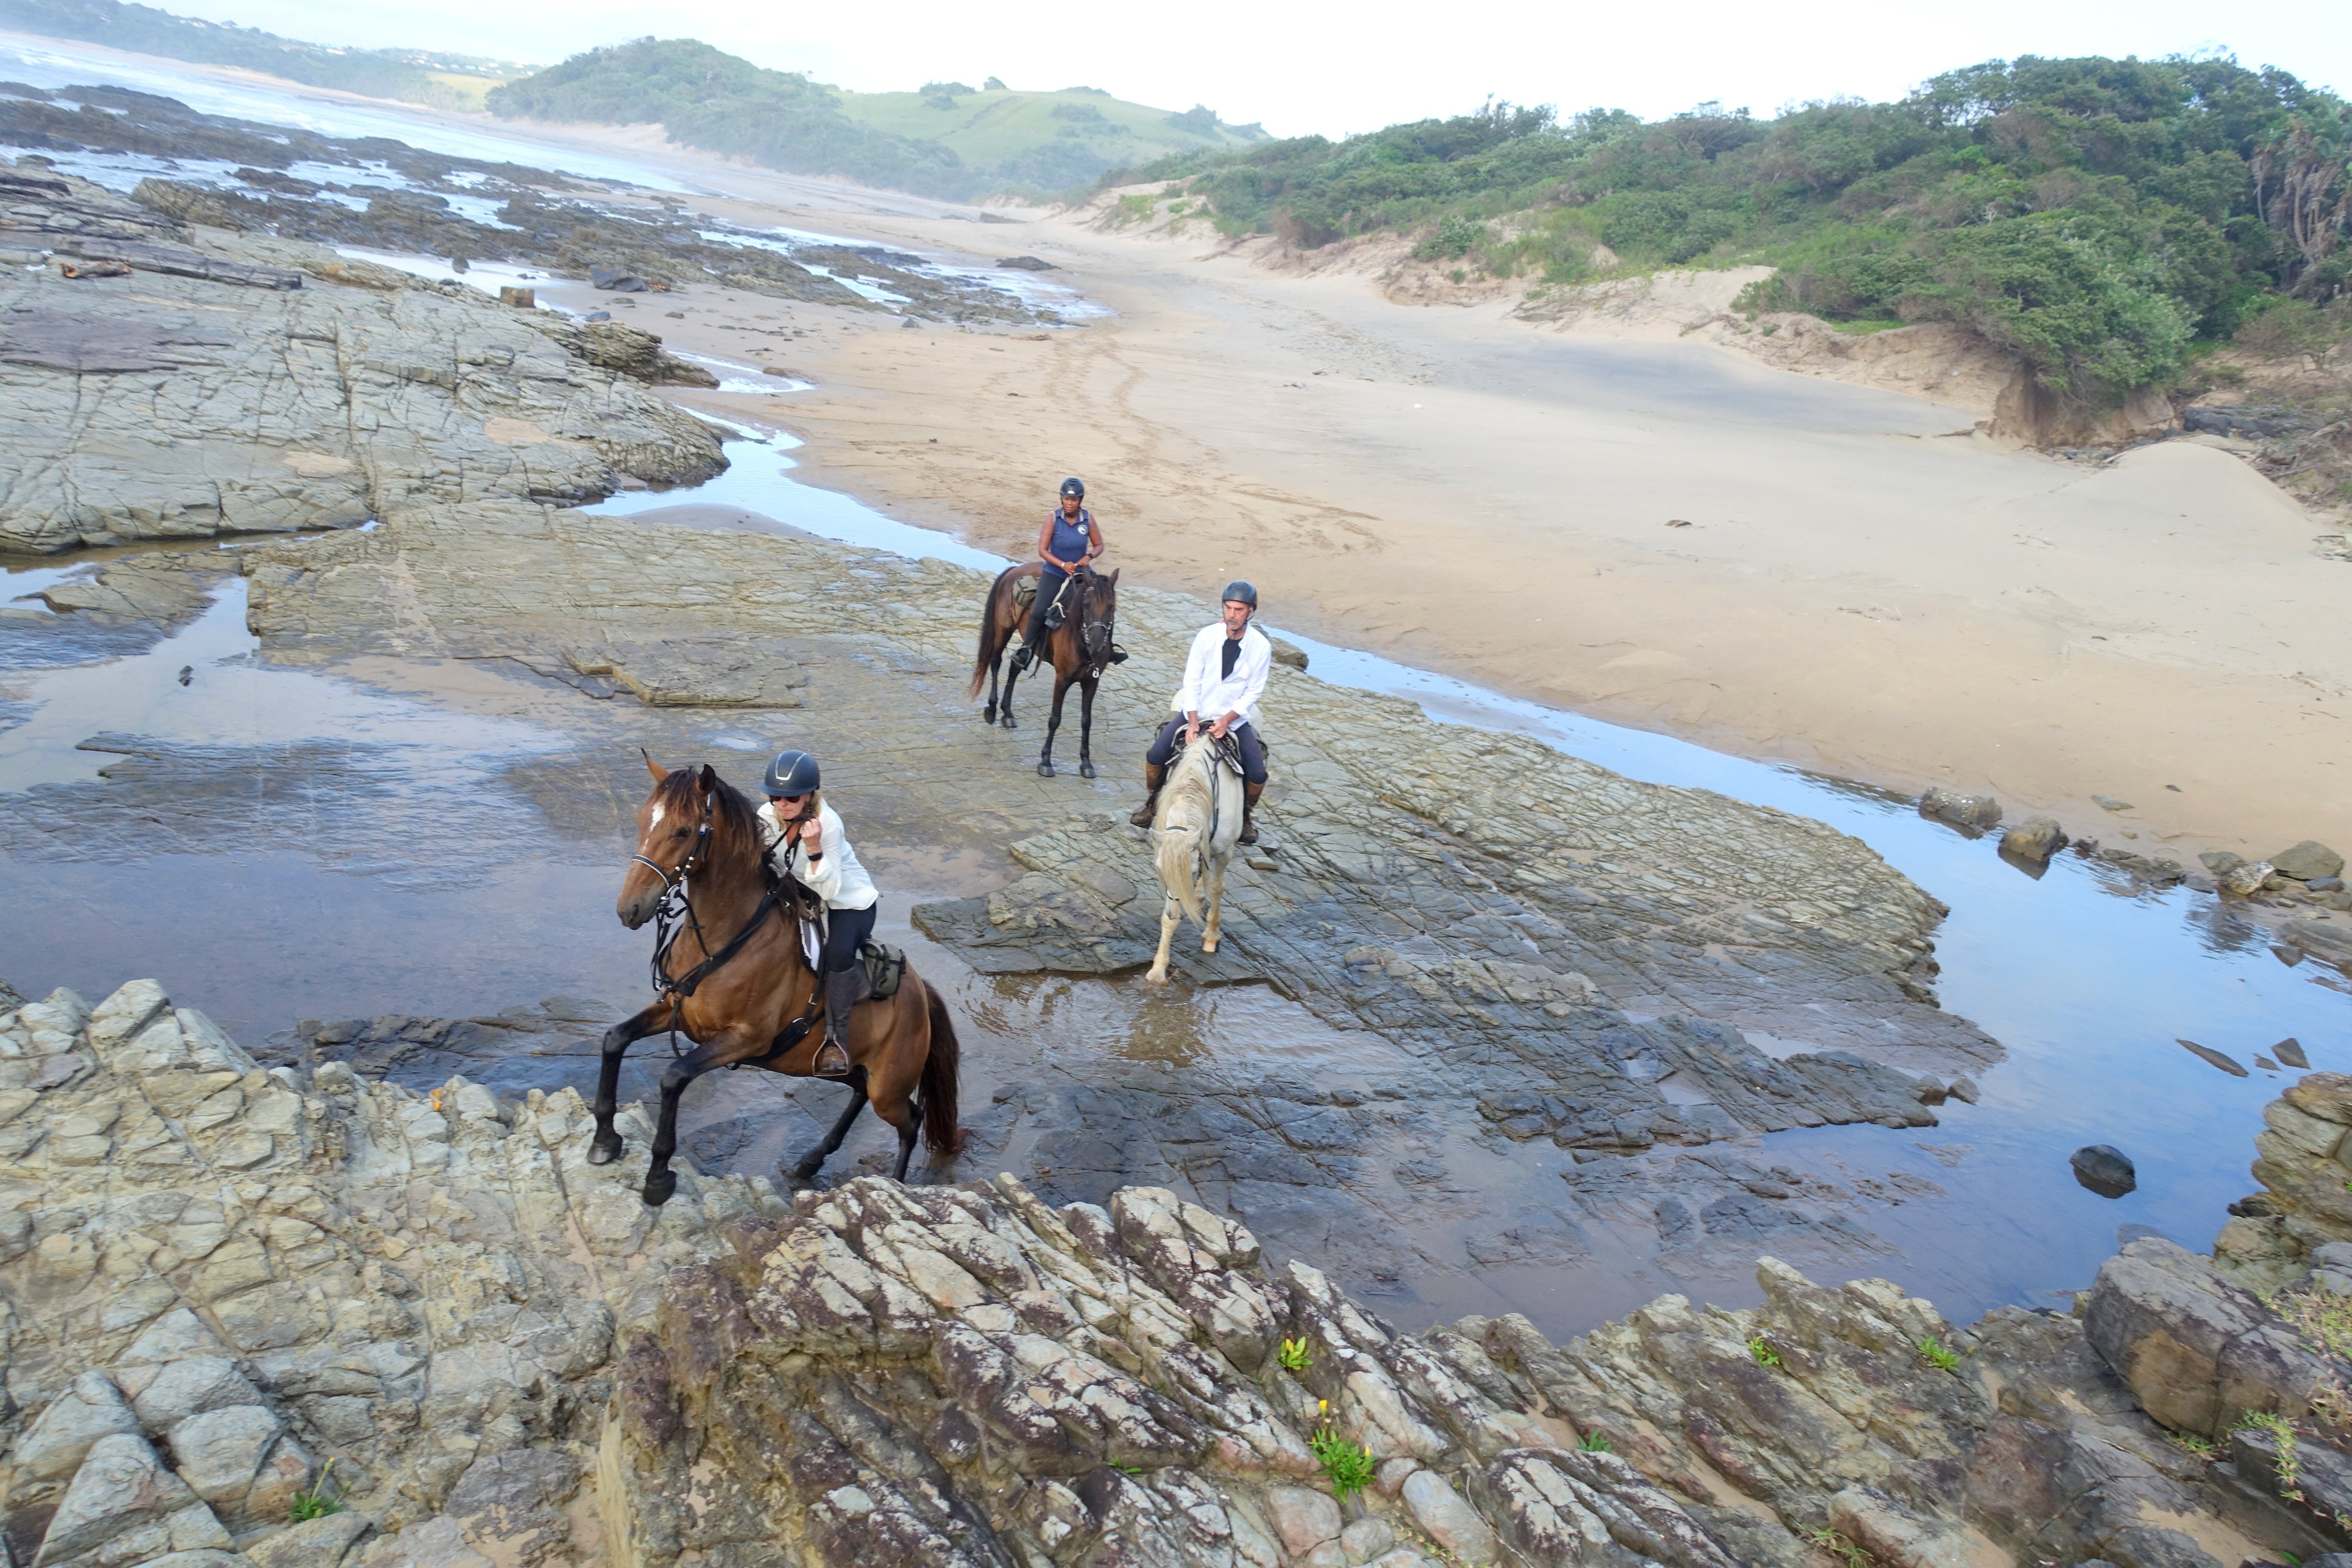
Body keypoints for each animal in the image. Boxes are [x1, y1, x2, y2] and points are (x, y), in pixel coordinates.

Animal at [597, 757, 964, 1204]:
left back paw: (892, 1185)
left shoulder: (745, 1038)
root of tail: (920, 992)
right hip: (852, 1069)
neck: (725, 935)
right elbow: (615, 1040)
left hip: (889, 1089)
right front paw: (604, 1141)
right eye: (641, 820)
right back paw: (811, 1162)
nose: (629, 909)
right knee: (860, 1094)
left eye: (683, 831)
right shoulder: (674, 1010)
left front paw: (658, 1177)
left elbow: (673, 1077)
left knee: (910, 1122)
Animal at [969, 567, 1124, 780]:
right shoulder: (1062, 680)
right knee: (996, 663)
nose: (1096, 645)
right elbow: (1055, 719)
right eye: (1086, 605)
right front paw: (1046, 761)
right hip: (1003, 629)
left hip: (1029, 645)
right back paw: (992, 709)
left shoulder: (1092, 682)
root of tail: (1014, 569)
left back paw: (1007, 713)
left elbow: (1087, 721)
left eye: (1111, 606)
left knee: (1015, 666)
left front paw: (1086, 763)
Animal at [1143, 738, 1242, 983]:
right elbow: (1169, 918)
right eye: (1159, 870)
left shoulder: (1225, 851)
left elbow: (1216, 887)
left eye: (1193, 870)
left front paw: (1212, 936)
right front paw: (1158, 971)